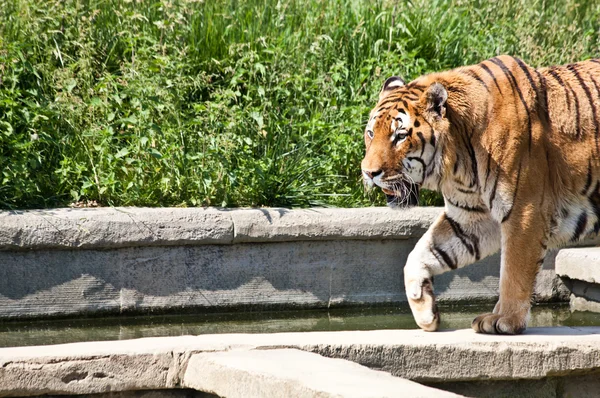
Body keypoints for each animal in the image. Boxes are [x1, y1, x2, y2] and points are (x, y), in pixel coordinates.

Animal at [360, 56, 600, 334]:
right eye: (370, 133)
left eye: (399, 136)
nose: (368, 172)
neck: (458, 165)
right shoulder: (472, 218)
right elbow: (420, 253)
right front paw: (425, 311)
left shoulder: (524, 212)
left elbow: (514, 270)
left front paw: (505, 320)